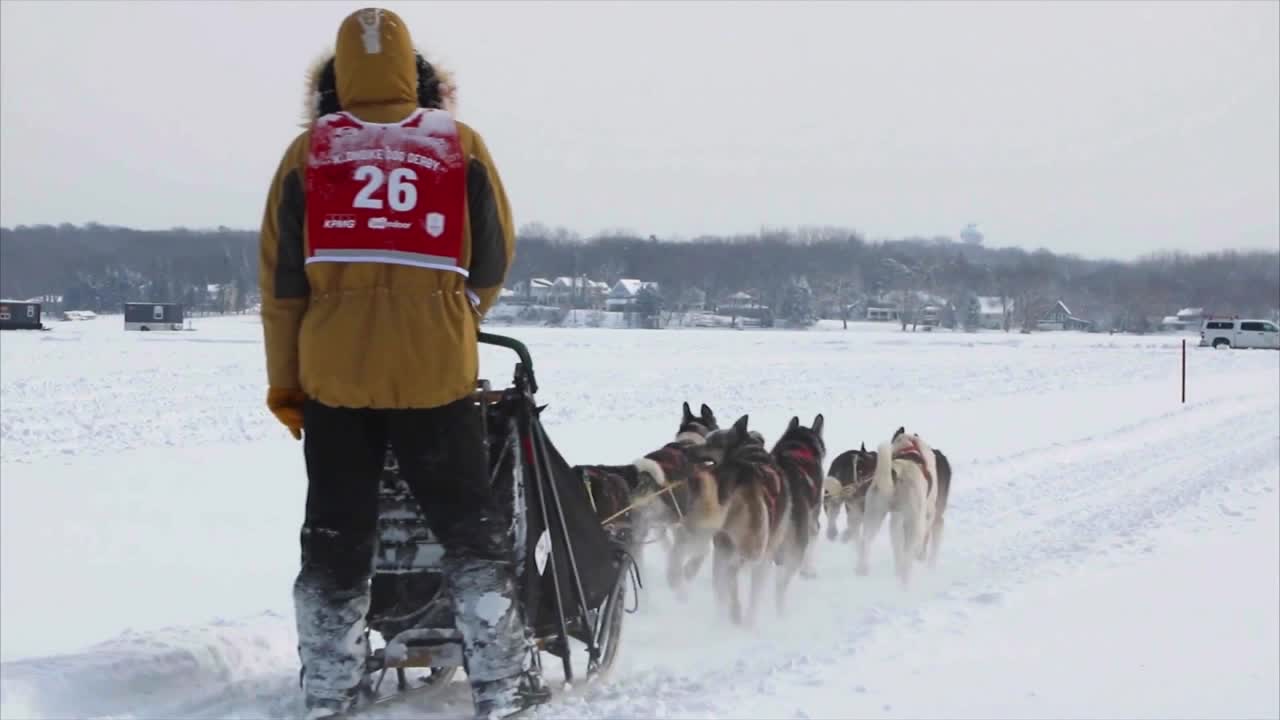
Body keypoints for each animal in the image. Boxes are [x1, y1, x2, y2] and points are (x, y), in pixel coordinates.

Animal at [860, 425, 942, 584]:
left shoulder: (896, 518)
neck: (909, 447)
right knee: (909, 551)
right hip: (914, 520)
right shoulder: (928, 512)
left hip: (874, 514)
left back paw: (863, 568)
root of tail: (898, 472)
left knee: (866, 542)